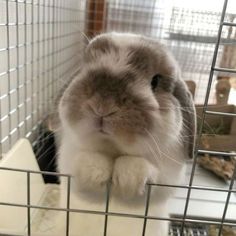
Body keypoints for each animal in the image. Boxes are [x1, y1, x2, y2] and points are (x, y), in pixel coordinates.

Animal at [55, 32, 195, 235]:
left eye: (156, 81)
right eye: (84, 69)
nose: (103, 105)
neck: (114, 150)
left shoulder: (167, 178)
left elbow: (145, 175)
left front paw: (129, 178)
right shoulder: (68, 167)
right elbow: (85, 171)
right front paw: (94, 171)